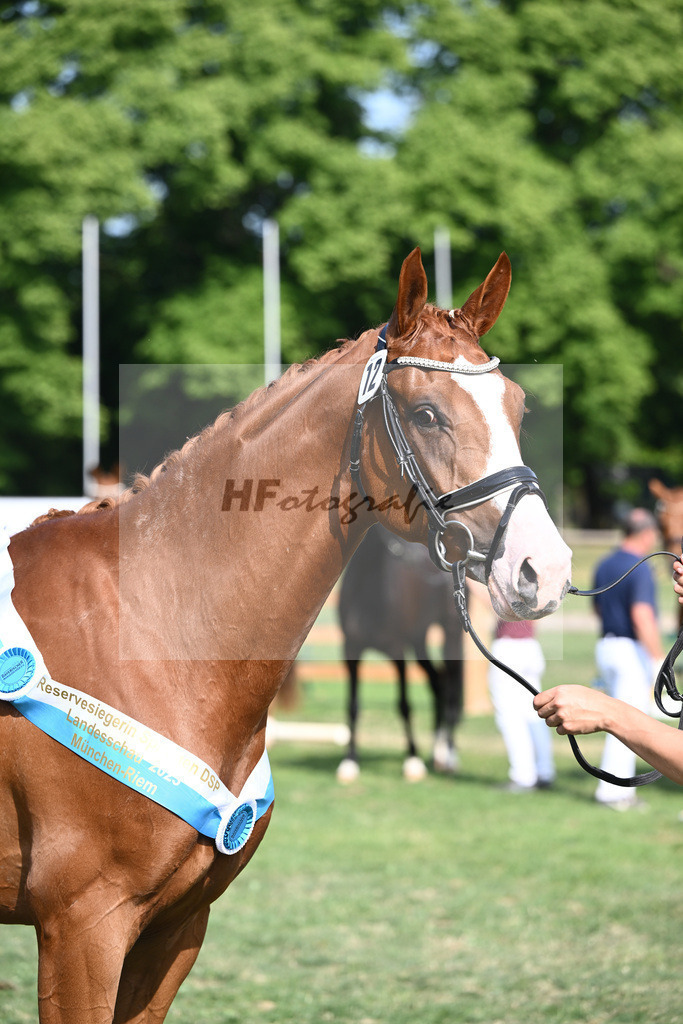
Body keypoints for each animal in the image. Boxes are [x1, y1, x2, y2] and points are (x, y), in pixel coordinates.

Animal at [337, 524, 464, 778]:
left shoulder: (397, 652)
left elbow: (404, 705)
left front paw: (412, 759)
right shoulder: (351, 650)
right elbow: (353, 705)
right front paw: (350, 761)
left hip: (450, 636)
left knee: (452, 689)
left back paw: (449, 755)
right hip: (418, 641)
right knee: (439, 682)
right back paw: (436, 753)